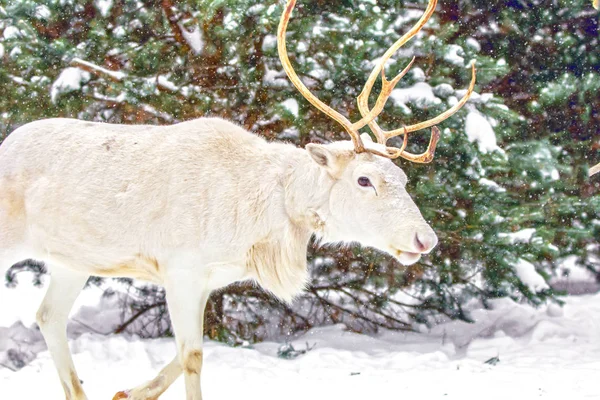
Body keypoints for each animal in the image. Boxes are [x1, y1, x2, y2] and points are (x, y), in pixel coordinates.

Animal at [0, 0, 474, 400]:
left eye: (403, 178)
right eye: (364, 180)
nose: (425, 239)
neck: (258, 225)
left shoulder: (209, 279)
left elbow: (187, 353)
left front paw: (127, 392)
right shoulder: (180, 269)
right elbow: (193, 356)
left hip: (72, 260)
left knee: (48, 316)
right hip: (13, 241)